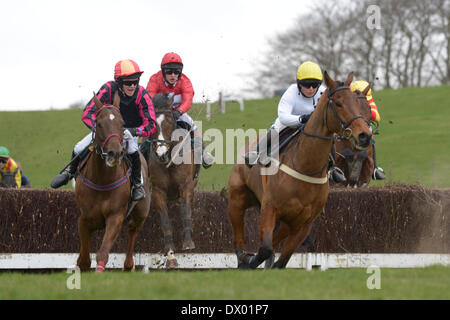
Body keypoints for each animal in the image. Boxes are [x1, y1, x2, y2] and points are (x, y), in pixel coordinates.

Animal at [74, 95, 150, 272]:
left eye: (122, 123)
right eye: (99, 123)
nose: (114, 153)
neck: (102, 180)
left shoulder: (115, 217)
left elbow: (103, 252)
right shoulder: (84, 218)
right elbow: (84, 259)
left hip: (141, 213)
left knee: (132, 231)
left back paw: (128, 265)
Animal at [146, 92, 199, 268]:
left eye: (170, 121)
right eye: (153, 125)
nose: (161, 154)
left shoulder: (186, 185)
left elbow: (186, 211)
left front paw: (188, 242)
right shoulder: (158, 190)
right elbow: (165, 221)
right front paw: (170, 253)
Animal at [229, 71, 372, 268]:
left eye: (358, 103)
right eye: (338, 103)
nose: (365, 135)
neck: (306, 167)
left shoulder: (304, 223)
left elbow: (280, 259)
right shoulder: (269, 208)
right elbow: (264, 249)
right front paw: (251, 260)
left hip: (287, 221)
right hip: (237, 198)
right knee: (239, 237)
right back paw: (243, 257)